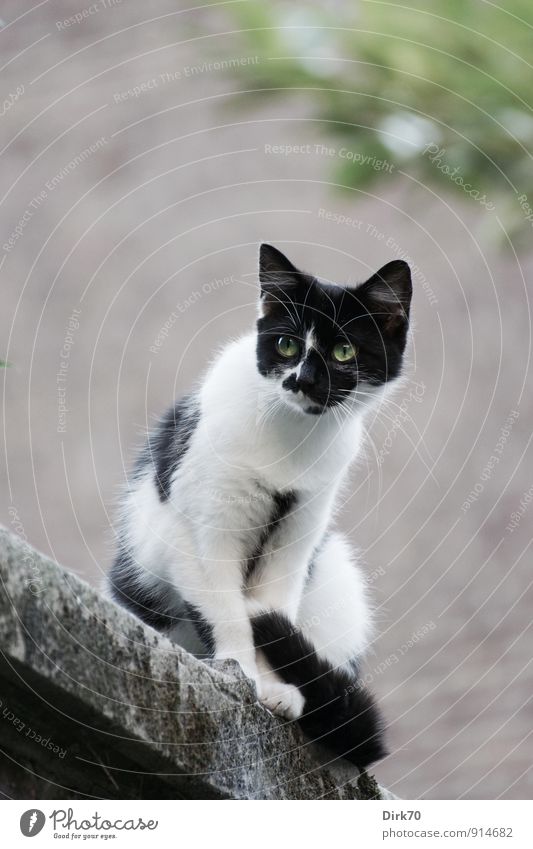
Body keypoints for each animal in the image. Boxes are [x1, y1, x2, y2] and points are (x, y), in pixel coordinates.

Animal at [110, 243, 414, 768]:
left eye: (344, 351)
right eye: (286, 345)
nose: (302, 381)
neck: (291, 440)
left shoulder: (296, 538)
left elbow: (272, 616)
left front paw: (278, 692)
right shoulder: (200, 530)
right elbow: (229, 613)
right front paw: (242, 677)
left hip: (336, 573)